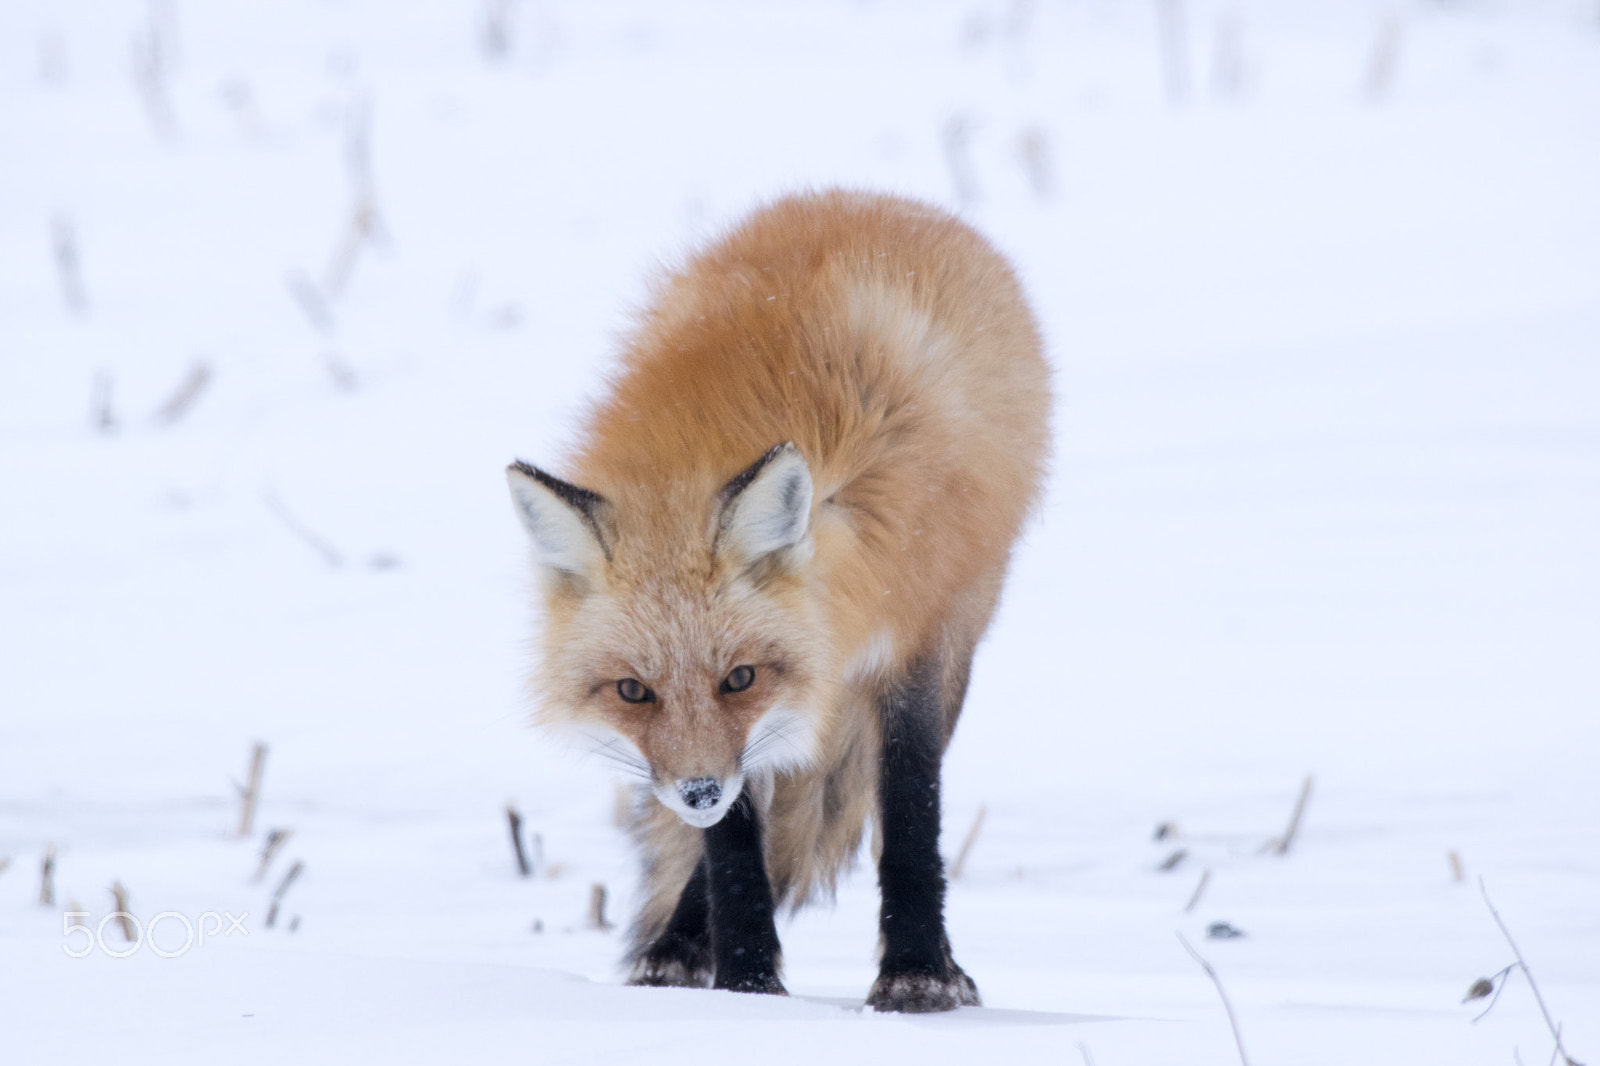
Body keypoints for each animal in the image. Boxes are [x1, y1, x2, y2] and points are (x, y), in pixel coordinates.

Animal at [506, 189, 1049, 1013]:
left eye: (740, 677)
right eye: (633, 691)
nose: (696, 790)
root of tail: (878, 198)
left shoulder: (913, 642)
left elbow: (910, 809)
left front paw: (918, 972)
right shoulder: (733, 751)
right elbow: (733, 848)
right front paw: (748, 982)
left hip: (966, 616)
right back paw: (679, 947)